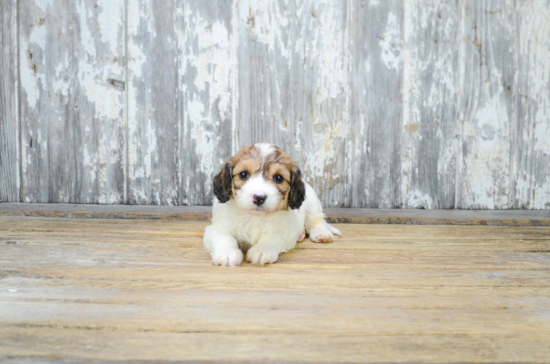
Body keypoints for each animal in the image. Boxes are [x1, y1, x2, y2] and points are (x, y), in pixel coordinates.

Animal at [204, 143, 340, 268]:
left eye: (278, 178)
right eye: (243, 174)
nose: (259, 197)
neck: (255, 217)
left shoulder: (283, 233)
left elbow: (271, 239)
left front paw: (262, 250)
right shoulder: (215, 228)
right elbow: (224, 237)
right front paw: (227, 253)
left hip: (312, 203)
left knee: (317, 221)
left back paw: (322, 233)